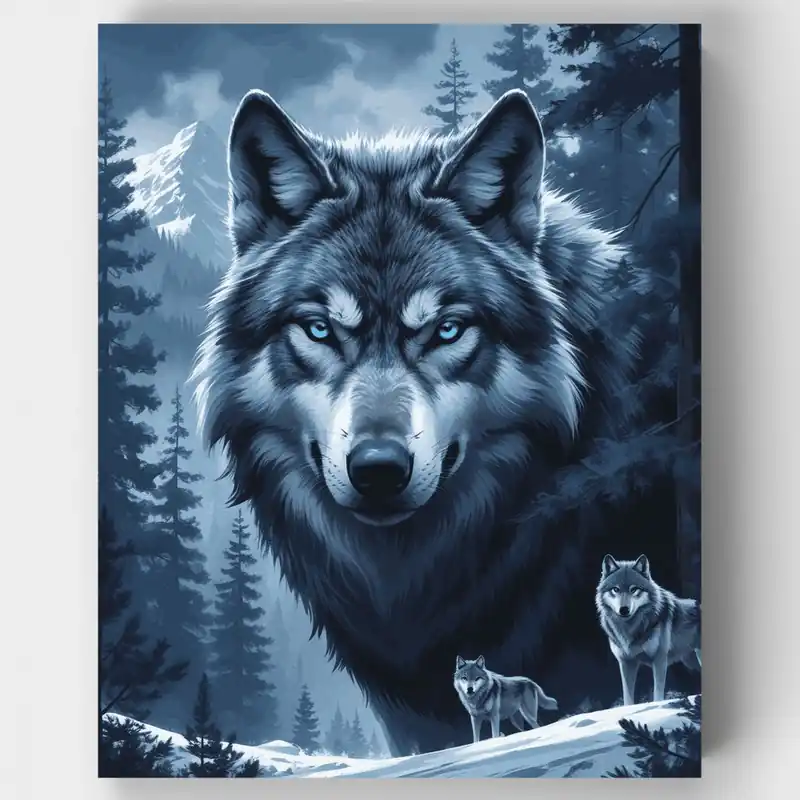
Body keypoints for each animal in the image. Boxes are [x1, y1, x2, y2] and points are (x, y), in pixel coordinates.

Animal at [595, 555, 701, 706]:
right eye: (615, 589)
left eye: (634, 589)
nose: (624, 610)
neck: (630, 628)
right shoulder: (626, 662)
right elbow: (628, 698)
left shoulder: (660, 659)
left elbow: (657, 694)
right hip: (690, 662)